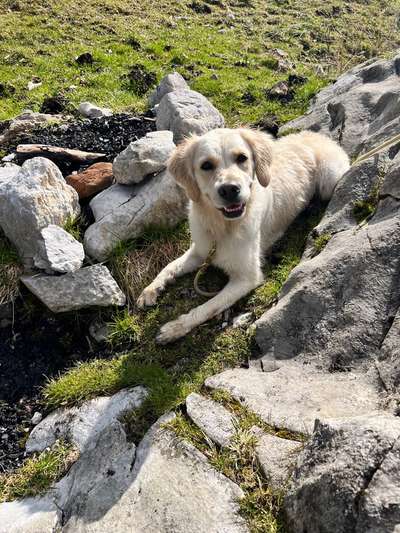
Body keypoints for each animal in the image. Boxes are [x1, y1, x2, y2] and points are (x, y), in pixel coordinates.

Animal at [138, 127, 350, 342]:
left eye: (242, 158)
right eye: (206, 165)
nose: (229, 189)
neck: (221, 226)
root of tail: (317, 135)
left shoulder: (247, 278)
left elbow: (208, 307)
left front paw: (175, 328)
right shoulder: (199, 251)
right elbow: (168, 267)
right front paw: (151, 290)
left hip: (329, 180)